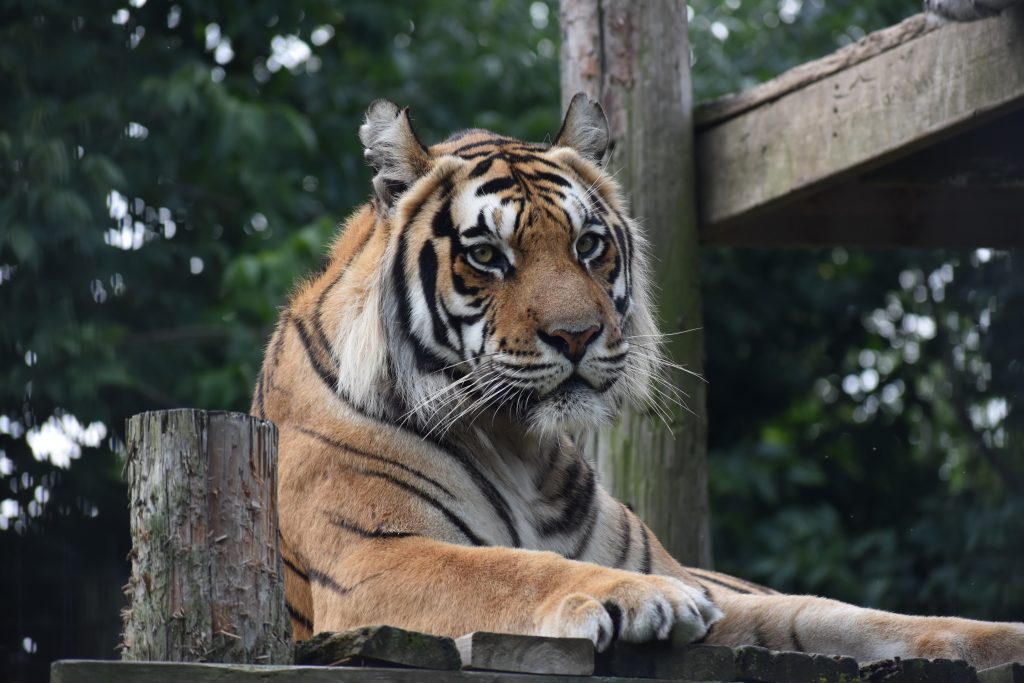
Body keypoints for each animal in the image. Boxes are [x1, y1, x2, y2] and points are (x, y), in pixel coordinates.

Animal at [249, 94, 1024, 667]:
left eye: (588, 244)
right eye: (487, 254)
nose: (576, 336)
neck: (515, 442)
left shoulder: (705, 578)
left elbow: (836, 616)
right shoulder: (370, 556)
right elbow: (510, 567)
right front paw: (639, 598)